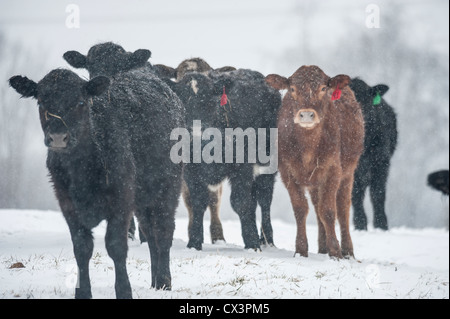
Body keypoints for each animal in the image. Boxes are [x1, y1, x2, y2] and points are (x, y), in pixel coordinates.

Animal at [7, 67, 183, 298]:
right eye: (41, 102)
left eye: (81, 102)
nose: (58, 137)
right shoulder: (67, 203)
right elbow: (82, 248)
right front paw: (83, 292)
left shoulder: (121, 200)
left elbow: (116, 246)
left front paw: (124, 290)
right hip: (143, 198)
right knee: (150, 233)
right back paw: (154, 282)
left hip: (168, 187)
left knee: (163, 231)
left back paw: (164, 282)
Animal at [266, 66, 364, 258]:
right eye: (292, 89)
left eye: (323, 88)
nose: (306, 115)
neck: (308, 148)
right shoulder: (287, 172)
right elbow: (300, 209)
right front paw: (301, 250)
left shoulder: (333, 170)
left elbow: (328, 211)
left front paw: (336, 252)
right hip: (314, 182)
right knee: (317, 207)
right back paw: (322, 248)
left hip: (348, 173)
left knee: (342, 209)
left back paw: (348, 250)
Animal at [348, 79, 398, 231]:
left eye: (365, 99)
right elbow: (355, 193)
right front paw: (360, 224)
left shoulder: (381, 163)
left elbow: (378, 193)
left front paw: (381, 225)